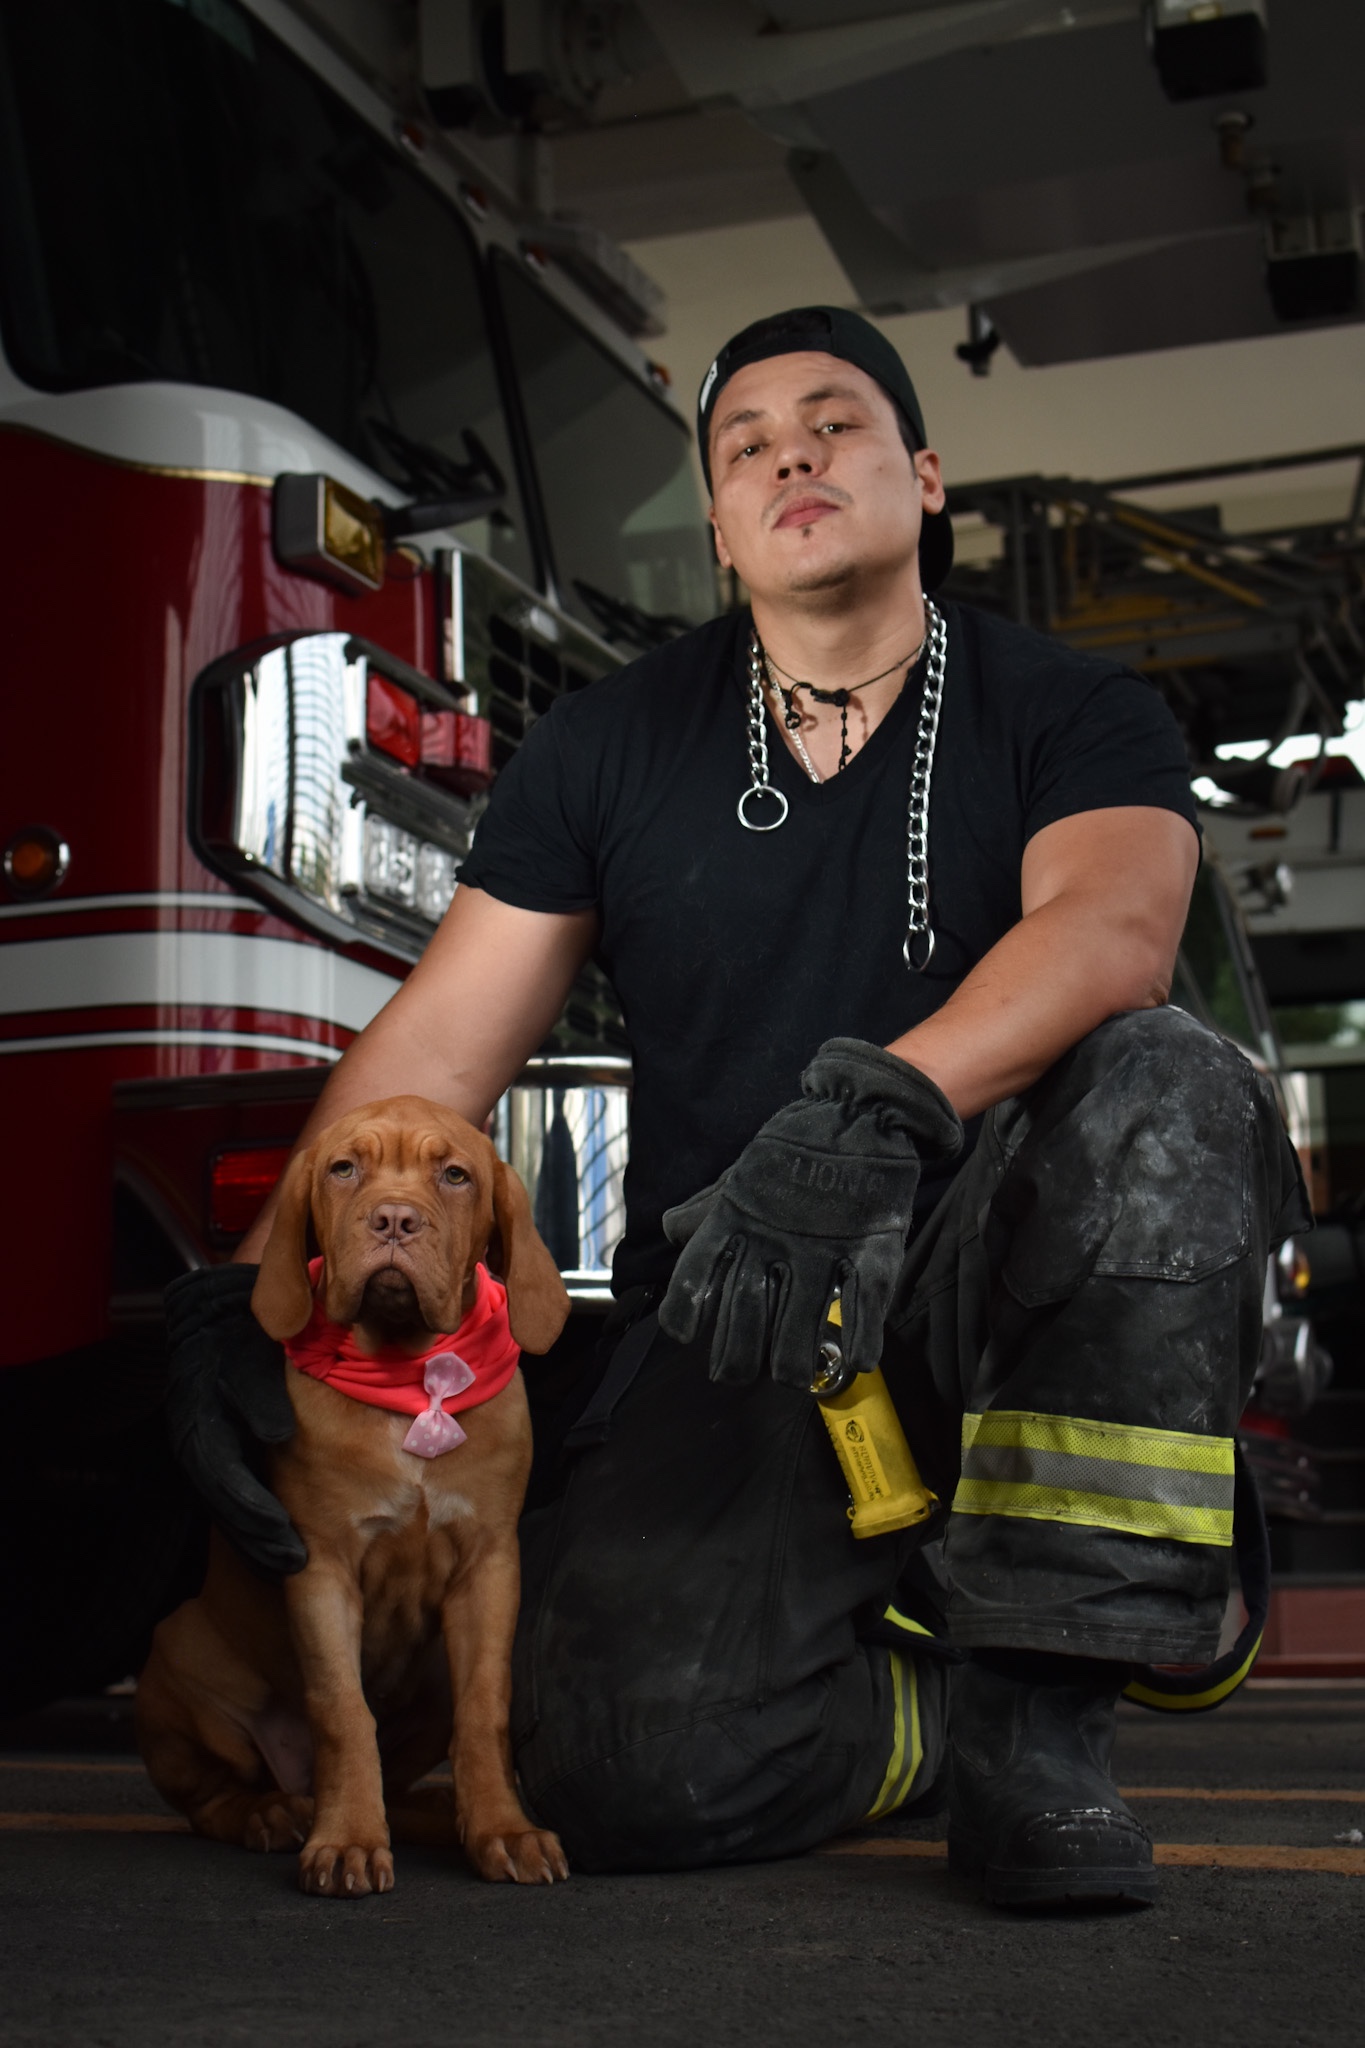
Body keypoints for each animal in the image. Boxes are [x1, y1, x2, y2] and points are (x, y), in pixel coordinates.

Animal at [137, 1095, 571, 1896]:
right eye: (343, 1169)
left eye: (455, 1176)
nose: (394, 1219)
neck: (412, 1380)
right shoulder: (322, 1568)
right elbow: (343, 1711)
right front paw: (346, 1842)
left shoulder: (490, 1568)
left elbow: (485, 1708)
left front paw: (502, 1828)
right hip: (181, 1659)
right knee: (212, 1796)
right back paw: (273, 1813)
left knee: (404, 1779)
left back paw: (432, 1813)